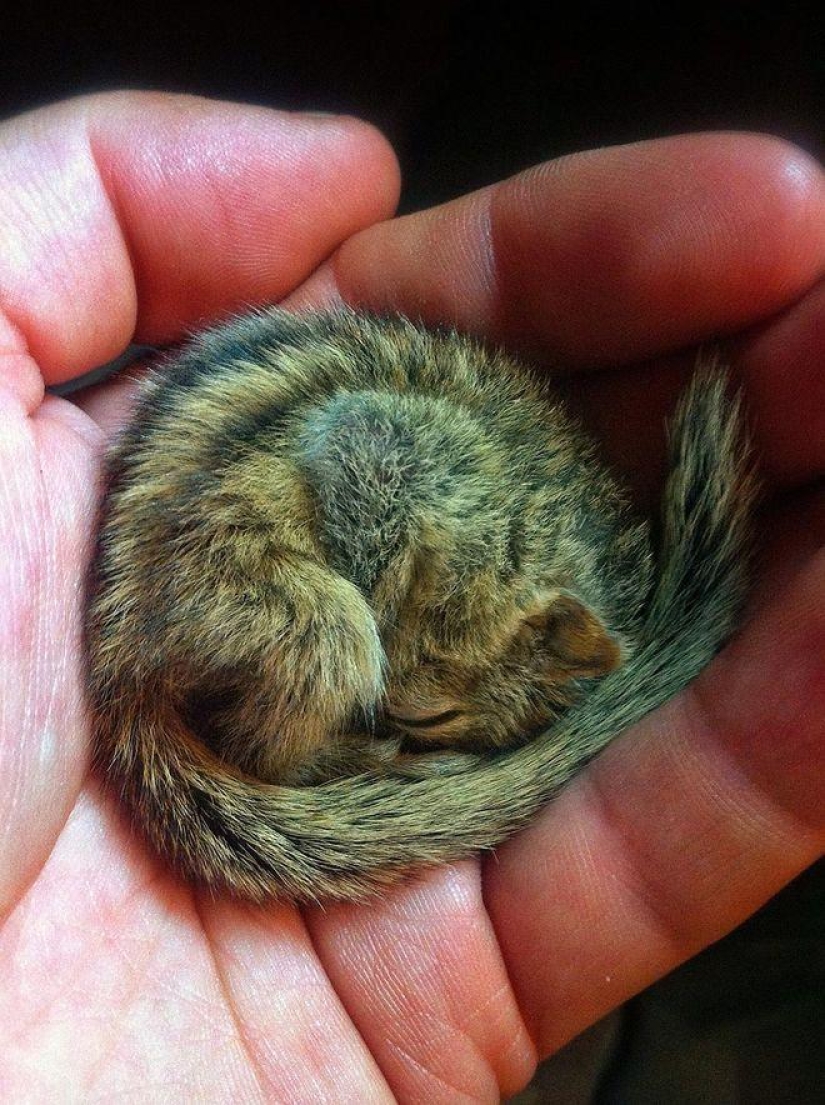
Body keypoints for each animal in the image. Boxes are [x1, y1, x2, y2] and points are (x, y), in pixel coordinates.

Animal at [85, 308, 755, 903]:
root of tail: (120, 665)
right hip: (290, 616)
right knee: (259, 746)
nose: (384, 717)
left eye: (431, 719)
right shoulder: (392, 447)